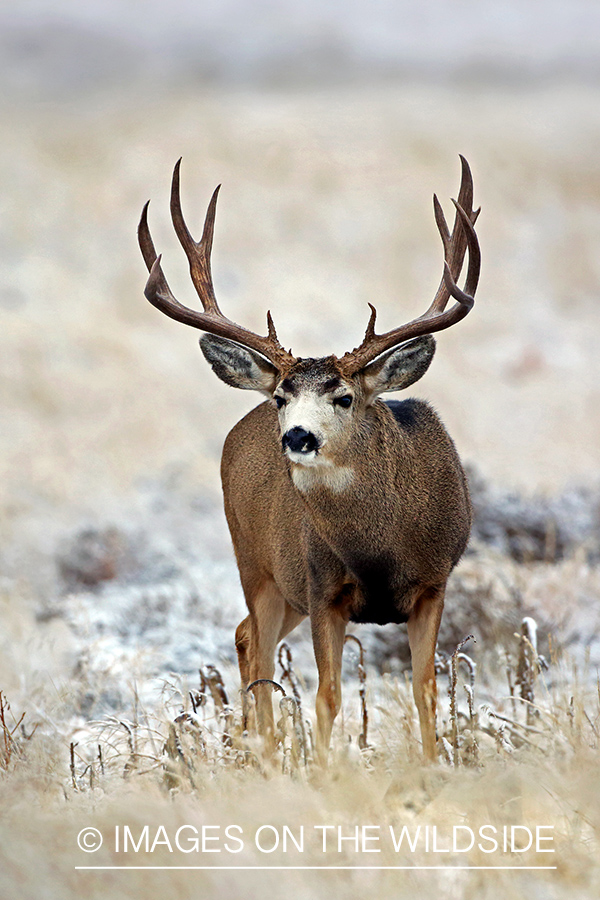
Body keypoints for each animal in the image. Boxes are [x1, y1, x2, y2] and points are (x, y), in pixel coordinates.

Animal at [138, 158, 480, 764]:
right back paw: (263, 749)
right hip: (257, 563)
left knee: (245, 636)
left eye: (343, 397)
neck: (378, 550)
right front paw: (322, 770)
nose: (297, 435)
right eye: (282, 397)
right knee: (254, 643)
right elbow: (327, 696)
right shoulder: (322, 588)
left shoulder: (434, 582)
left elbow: (426, 690)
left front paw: (433, 764)